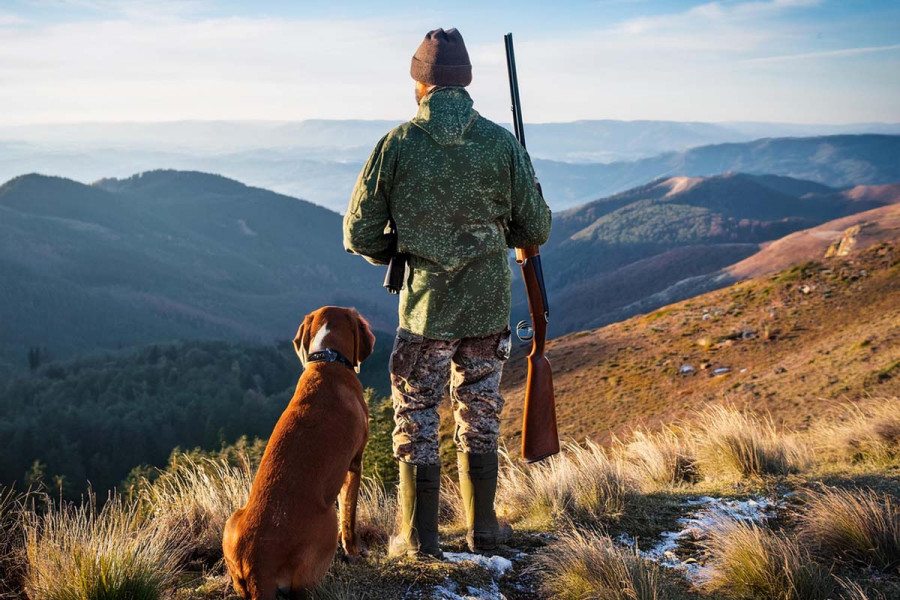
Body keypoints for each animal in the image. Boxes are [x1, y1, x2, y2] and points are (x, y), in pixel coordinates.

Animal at [223, 308, 374, 596]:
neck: (327, 358)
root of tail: (258, 563)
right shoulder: (354, 465)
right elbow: (349, 517)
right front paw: (353, 552)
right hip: (327, 518)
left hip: (232, 521)